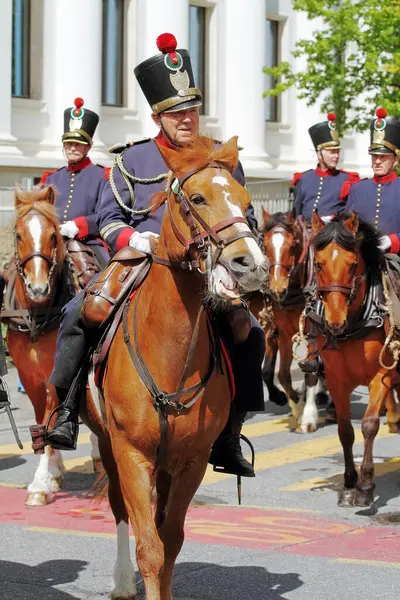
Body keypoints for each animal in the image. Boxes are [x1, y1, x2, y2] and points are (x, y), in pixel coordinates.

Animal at [260, 207, 328, 432]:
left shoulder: (313, 334)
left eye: (292, 247)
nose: (277, 288)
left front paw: (308, 416)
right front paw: (297, 406)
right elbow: (282, 374)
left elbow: (310, 371)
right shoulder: (284, 333)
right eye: (265, 245)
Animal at [310, 211, 400, 506]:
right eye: (318, 263)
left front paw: (366, 484)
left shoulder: (381, 377)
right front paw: (350, 481)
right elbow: (345, 430)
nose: (334, 322)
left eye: (352, 265)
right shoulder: (336, 379)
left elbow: (370, 426)